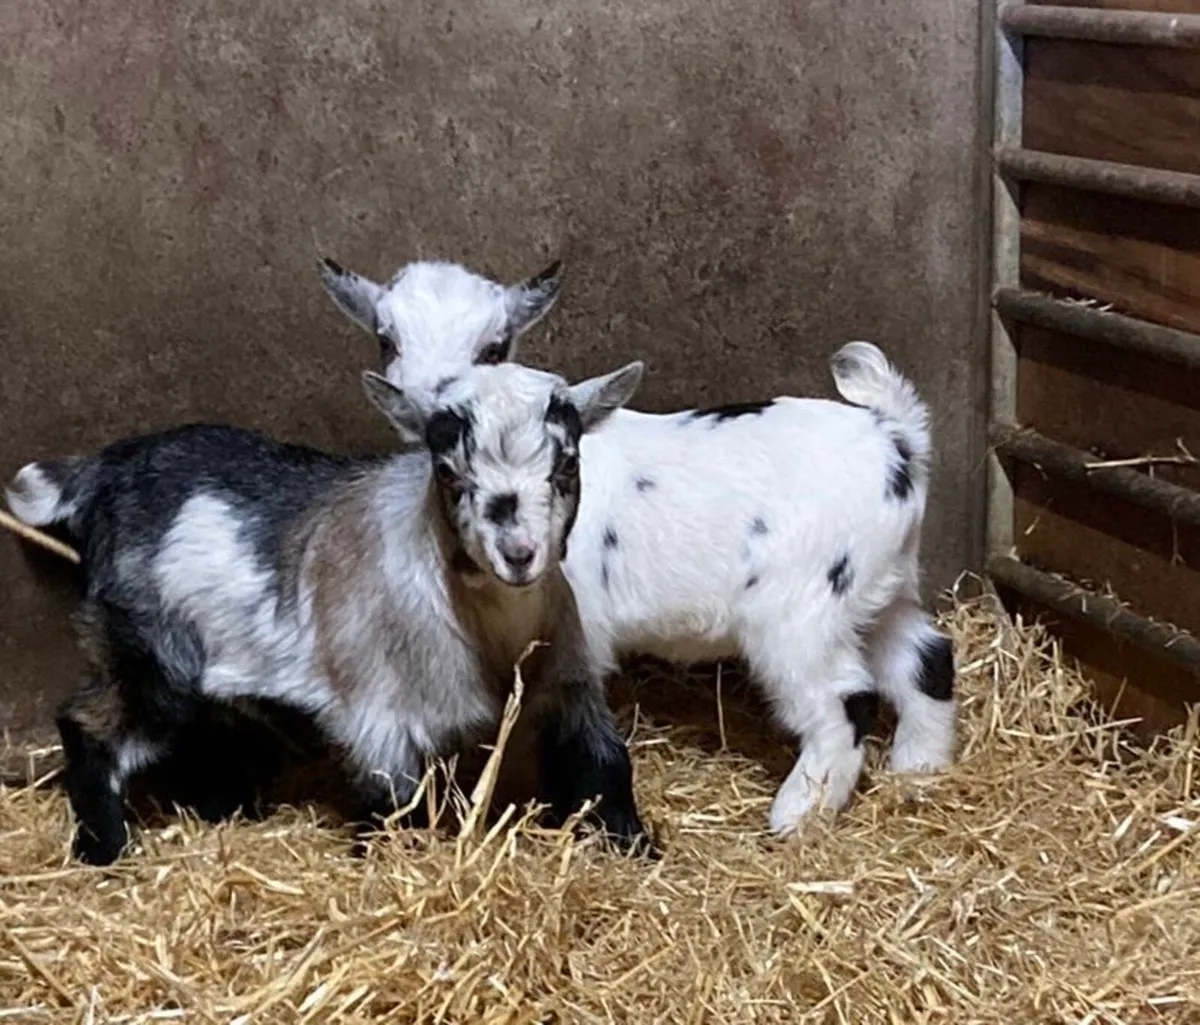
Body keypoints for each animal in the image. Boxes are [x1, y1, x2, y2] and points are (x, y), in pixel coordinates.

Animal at [5, 358, 651, 864]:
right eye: (447, 472)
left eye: (567, 465)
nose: (518, 554)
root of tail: (101, 471)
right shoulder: (382, 715)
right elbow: (392, 805)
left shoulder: (567, 681)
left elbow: (602, 763)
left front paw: (636, 847)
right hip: (145, 648)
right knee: (91, 725)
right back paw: (104, 848)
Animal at [323, 257, 957, 837]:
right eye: (386, 337)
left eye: (494, 345)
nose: (421, 400)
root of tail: (896, 437)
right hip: (880, 586)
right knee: (927, 660)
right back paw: (916, 770)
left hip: (802, 608)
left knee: (845, 699)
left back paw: (797, 813)